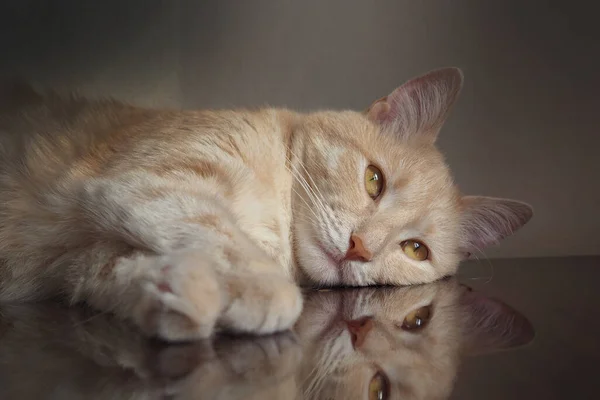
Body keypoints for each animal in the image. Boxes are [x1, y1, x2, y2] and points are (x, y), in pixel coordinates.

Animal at [0, 68, 536, 340]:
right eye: (374, 181)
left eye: (415, 250)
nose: (360, 247)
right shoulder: (148, 181)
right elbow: (220, 231)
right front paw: (264, 291)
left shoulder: (84, 260)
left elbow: (117, 272)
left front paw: (173, 294)